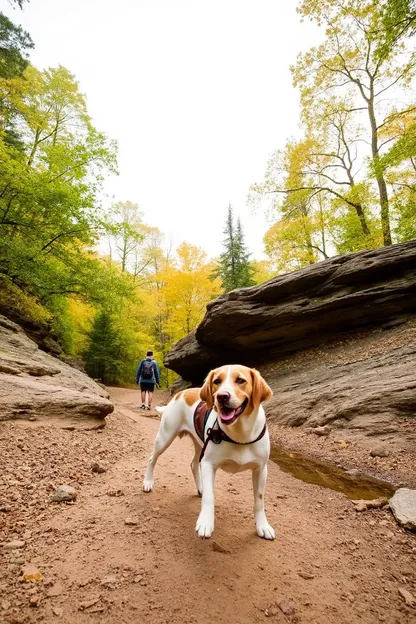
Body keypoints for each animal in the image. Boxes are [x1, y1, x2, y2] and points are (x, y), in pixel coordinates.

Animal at [143, 364, 276, 540]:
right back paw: (148, 482)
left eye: (240, 380)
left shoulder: (261, 469)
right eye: (217, 381)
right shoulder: (208, 464)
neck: (239, 434)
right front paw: (205, 522)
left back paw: (200, 488)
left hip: (199, 443)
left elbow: (259, 501)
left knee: (193, 464)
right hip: (165, 437)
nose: (222, 396)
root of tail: (181, 393)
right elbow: (209, 497)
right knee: (152, 458)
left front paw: (263, 526)